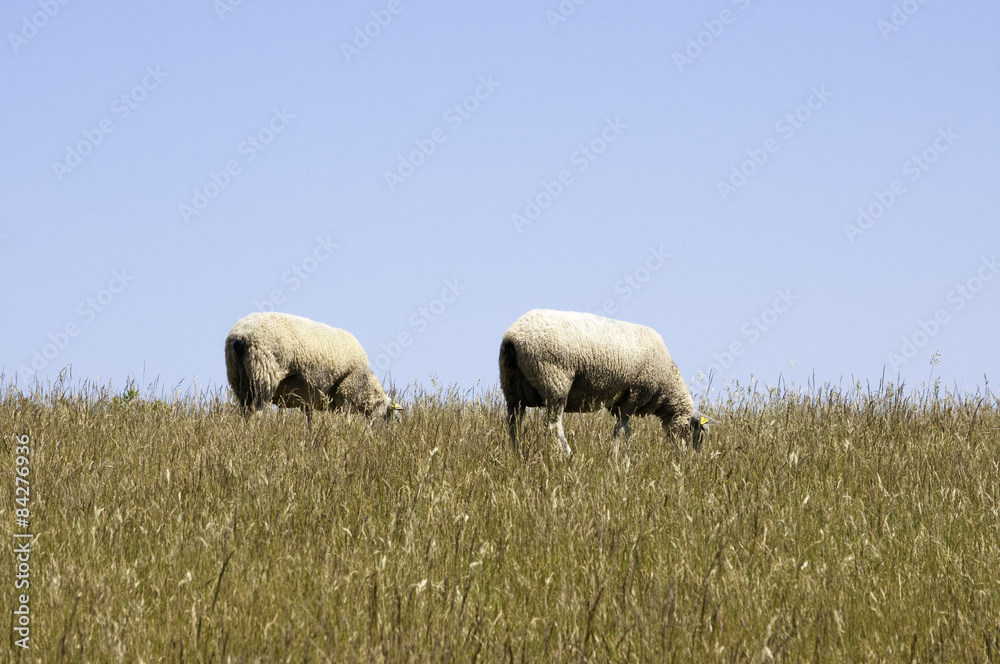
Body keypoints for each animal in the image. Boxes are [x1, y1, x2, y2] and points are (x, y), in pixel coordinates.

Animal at [225, 312, 399, 423]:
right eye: (389, 415)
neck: (366, 384)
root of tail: (240, 337)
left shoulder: (308, 398)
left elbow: (309, 421)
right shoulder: (346, 392)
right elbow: (346, 418)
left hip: (238, 376)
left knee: (244, 409)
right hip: (263, 373)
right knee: (256, 410)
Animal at [498, 308, 715, 457]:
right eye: (695, 432)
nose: (688, 459)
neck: (667, 384)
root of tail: (512, 336)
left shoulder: (618, 403)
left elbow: (627, 431)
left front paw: (628, 455)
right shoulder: (634, 394)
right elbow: (619, 431)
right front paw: (617, 457)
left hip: (511, 386)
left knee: (513, 423)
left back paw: (518, 455)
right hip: (554, 381)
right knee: (553, 425)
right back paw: (568, 455)